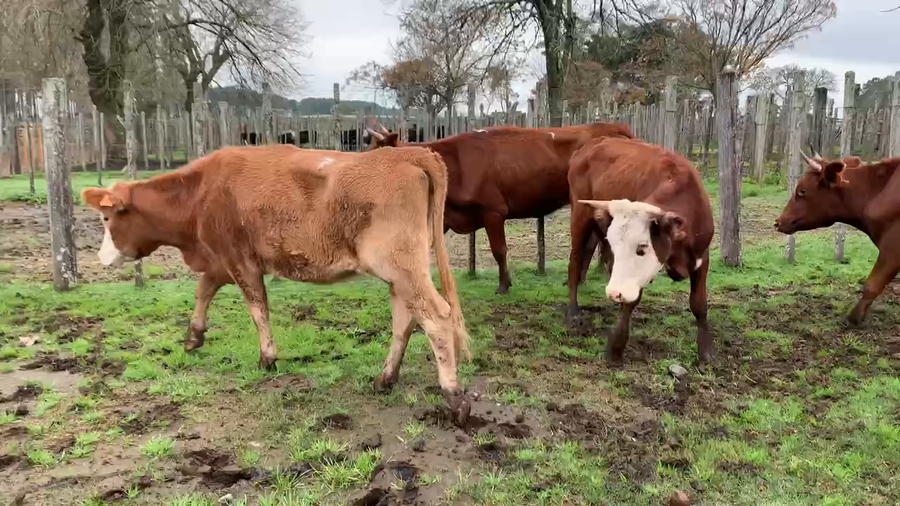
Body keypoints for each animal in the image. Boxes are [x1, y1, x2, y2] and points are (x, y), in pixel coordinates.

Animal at [81, 144, 473, 425]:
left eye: (106, 218)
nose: (100, 258)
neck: (200, 192)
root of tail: (407, 152)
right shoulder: (221, 261)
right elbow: (203, 290)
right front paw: (194, 336)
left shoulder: (239, 260)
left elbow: (258, 309)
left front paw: (267, 358)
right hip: (402, 273)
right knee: (405, 321)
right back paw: (385, 379)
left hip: (402, 267)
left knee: (437, 318)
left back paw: (454, 397)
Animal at [566, 138, 715, 367]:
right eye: (616, 244)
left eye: (642, 247)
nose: (613, 293)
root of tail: (591, 145)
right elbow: (631, 301)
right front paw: (616, 349)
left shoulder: (701, 257)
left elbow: (698, 303)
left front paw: (705, 353)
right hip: (580, 216)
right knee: (575, 262)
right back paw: (573, 312)